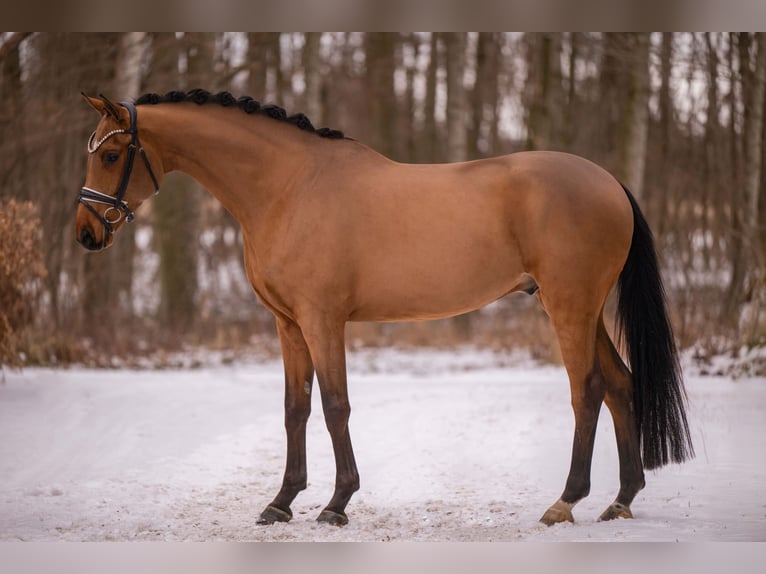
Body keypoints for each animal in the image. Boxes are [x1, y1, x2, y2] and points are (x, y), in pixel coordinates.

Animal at [75, 89, 693, 527]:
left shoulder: (322, 320)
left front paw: (336, 503)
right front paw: (281, 502)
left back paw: (565, 502)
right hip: (583, 311)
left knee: (587, 390)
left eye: (112, 154)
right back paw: (621, 500)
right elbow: (295, 409)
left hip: (570, 306)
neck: (288, 188)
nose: (86, 234)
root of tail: (609, 181)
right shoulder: (288, 324)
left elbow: (334, 406)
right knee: (620, 384)